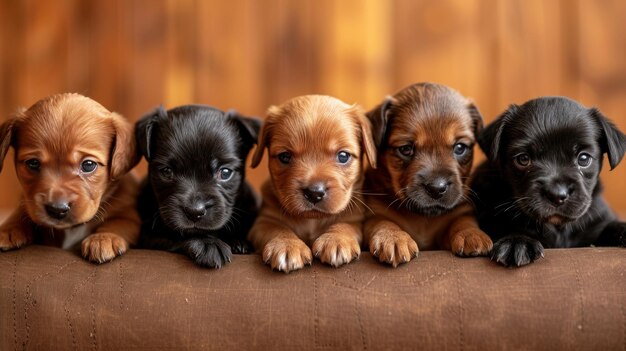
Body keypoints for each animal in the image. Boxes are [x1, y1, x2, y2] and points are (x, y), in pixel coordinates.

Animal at [0, 93, 139, 264]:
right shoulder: (27, 202)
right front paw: (8, 229)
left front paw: (103, 238)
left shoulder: (130, 213)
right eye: (33, 163)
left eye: (88, 165)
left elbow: (120, 221)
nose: (57, 209)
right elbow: (21, 212)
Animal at [135, 104, 260, 270]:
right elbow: (177, 234)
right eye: (167, 171)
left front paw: (237, 240)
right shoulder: (148, 235)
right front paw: (208, 243)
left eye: (225, 173)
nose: (195, 211)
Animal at [247, 95, 376, 276]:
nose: (315, 193)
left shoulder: (354, 218)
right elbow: (275, 228)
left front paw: (336, 239)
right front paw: (286, 244)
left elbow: (345, 225)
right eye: (285, 156)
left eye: (343, 156)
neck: (312, 220)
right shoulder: (263, 221)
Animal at [360, 83, 492, 270]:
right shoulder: (374, 214)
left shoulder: (459, 213)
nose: (437, 188)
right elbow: (383, 223)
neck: (422, 218)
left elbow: (462, 221)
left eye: (460, 147)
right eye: (405, 149)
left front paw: (472, 234)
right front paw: (393, 238)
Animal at [470, 96, 624, 266]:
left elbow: (609, 225)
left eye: (584, 159)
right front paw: (517, 241)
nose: (557, 195)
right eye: (523, 159)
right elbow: (502, 225)